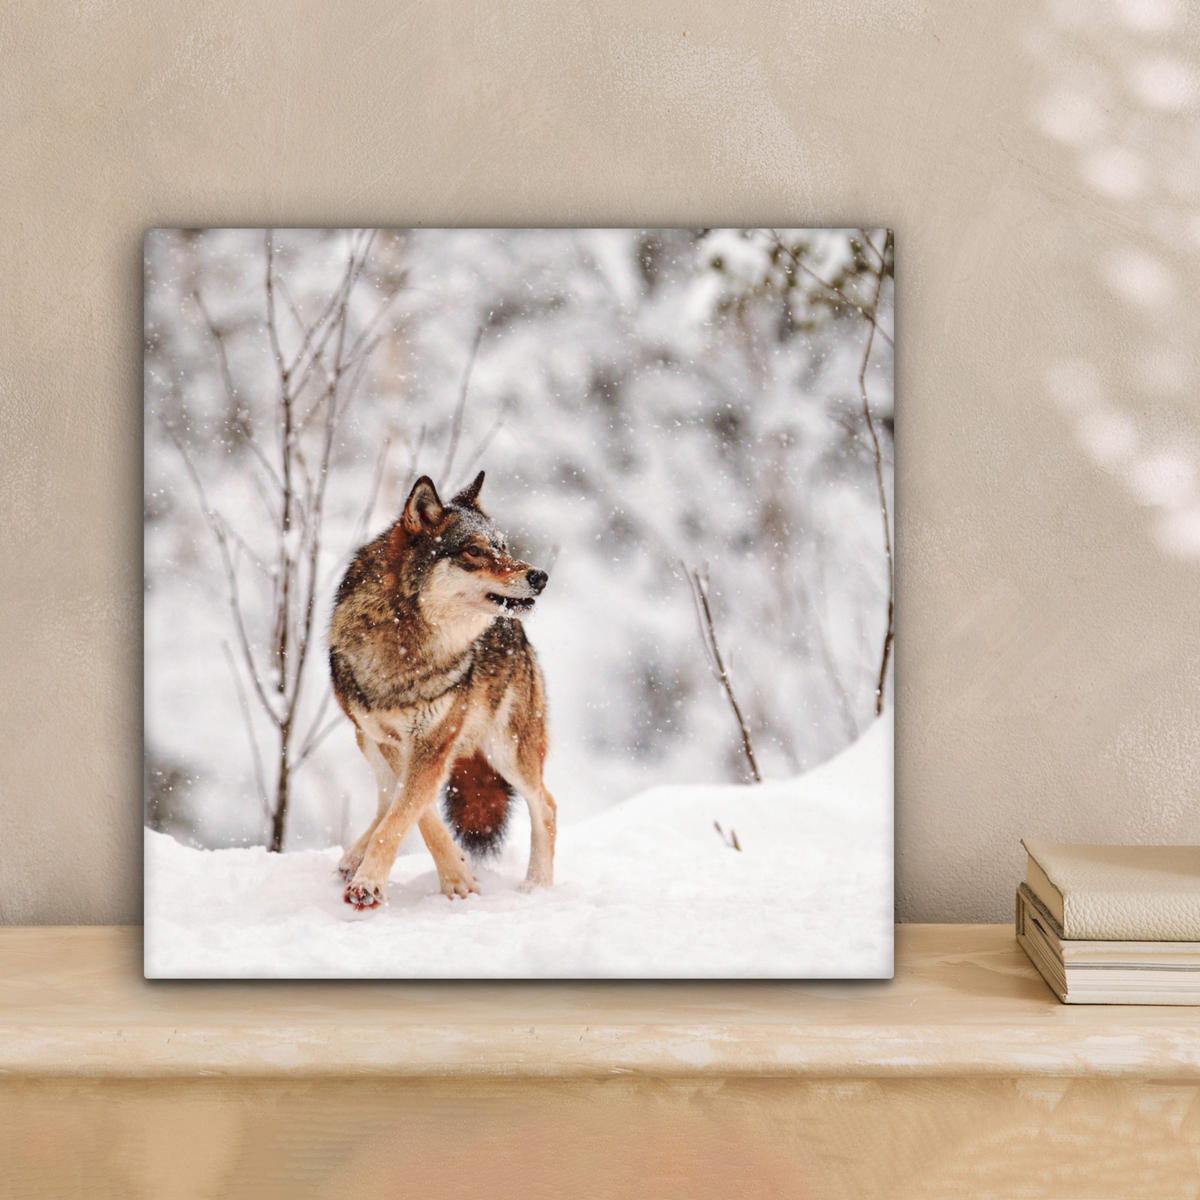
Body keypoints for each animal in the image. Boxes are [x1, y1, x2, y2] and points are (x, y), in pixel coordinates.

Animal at [328, 471, 555, 910]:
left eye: (503, 547)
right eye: (474, 551)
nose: (539, 576)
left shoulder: (433, 741)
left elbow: (405, 815)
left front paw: (372, 884)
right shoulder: (394, 741)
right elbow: (415, 814)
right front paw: (457, 875)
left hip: (507, 751)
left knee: (547, 806)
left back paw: (537, 887)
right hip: (365, 739)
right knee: (385, 799)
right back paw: (352, 858)